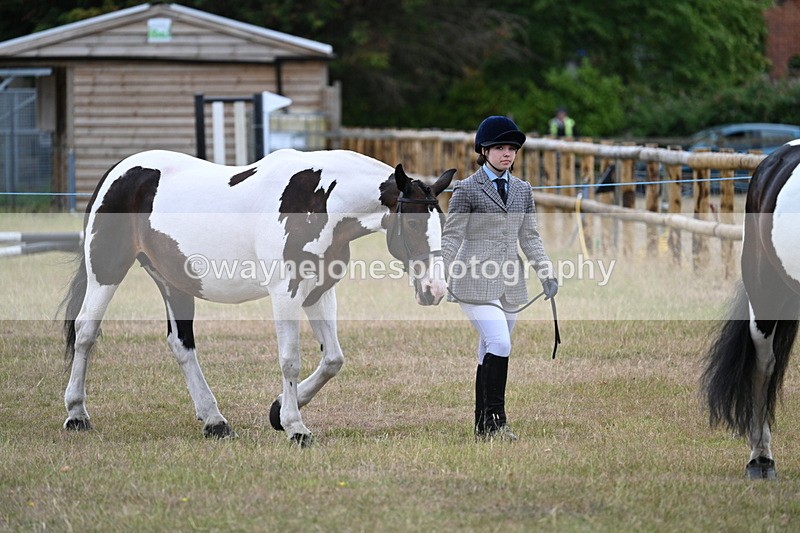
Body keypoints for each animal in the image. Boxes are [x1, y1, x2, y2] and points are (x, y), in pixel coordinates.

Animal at [61, 148, 455, 446]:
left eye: (442, 223)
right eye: (415, 223)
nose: (434, 290)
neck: (320, 199)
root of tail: (120, 170)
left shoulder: (319, 292)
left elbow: (333, 360)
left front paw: (278, 411)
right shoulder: (286, 292)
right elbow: (290, 359)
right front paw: (295, 426)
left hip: (174, 281)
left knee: (181, 345)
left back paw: (215, 422)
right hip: (106, 271)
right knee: (86, 332)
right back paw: (76, 414)